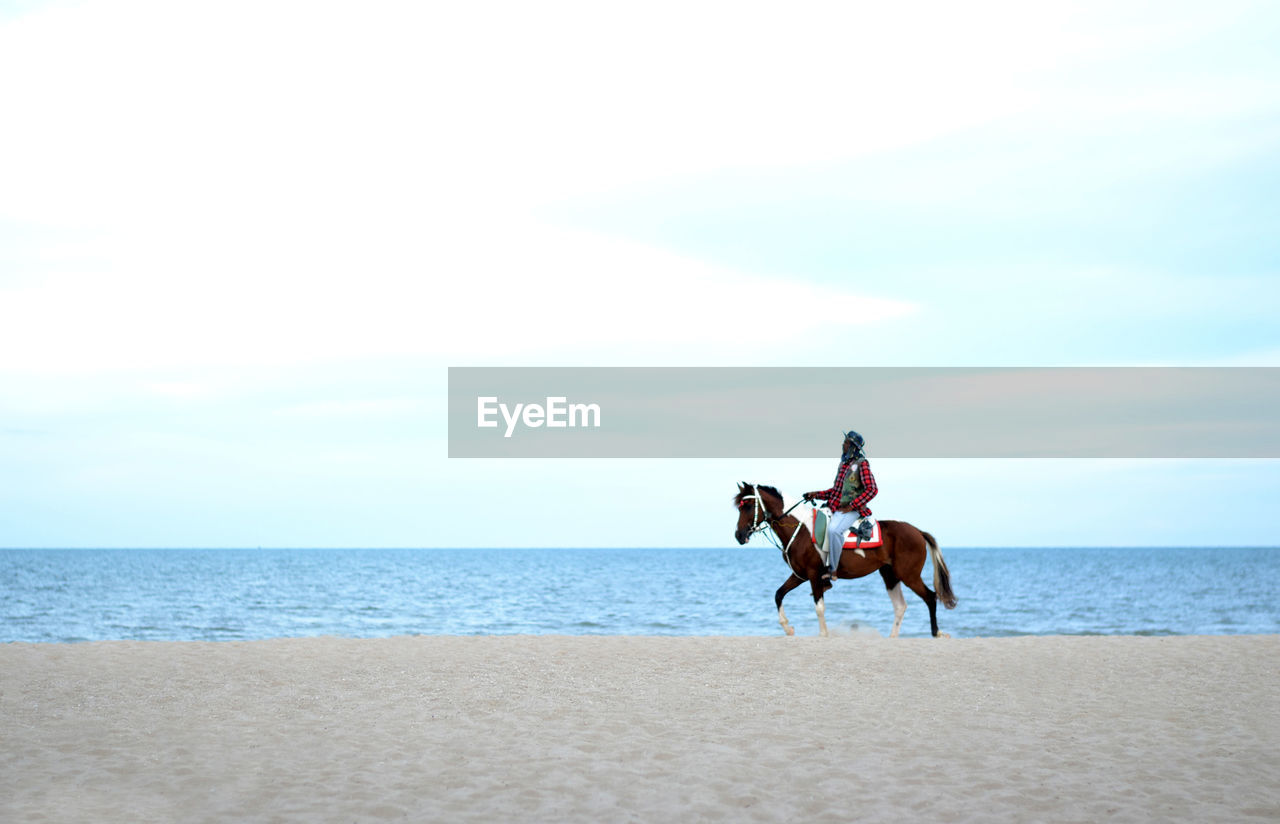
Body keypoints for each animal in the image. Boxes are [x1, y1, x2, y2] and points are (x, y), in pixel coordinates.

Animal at [737, 483, 957, 637]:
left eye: (748, 505)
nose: (738, 536)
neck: (801, 530)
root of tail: (917, 531)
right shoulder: (799, 575)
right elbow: (778, 594)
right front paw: (788, 628)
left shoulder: (814, 575)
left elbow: (819, 607)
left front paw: (823, 634)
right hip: (890, 575)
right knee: (900, 606)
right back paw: (893, 636)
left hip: (908, 575)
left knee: (930, 597)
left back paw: (936, 632)